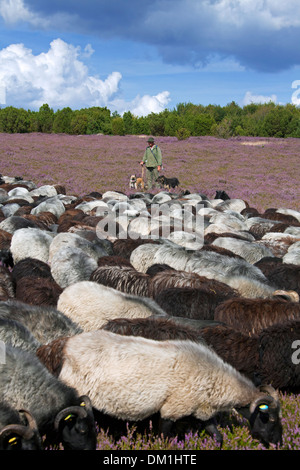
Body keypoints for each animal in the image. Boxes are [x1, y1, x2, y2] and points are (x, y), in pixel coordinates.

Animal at [41, 328, 282, 446]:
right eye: (269, 418)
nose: (279, 442)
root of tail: (66, 347)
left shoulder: (199, 409)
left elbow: (217, 437)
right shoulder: (173, 408)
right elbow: (166, 438)